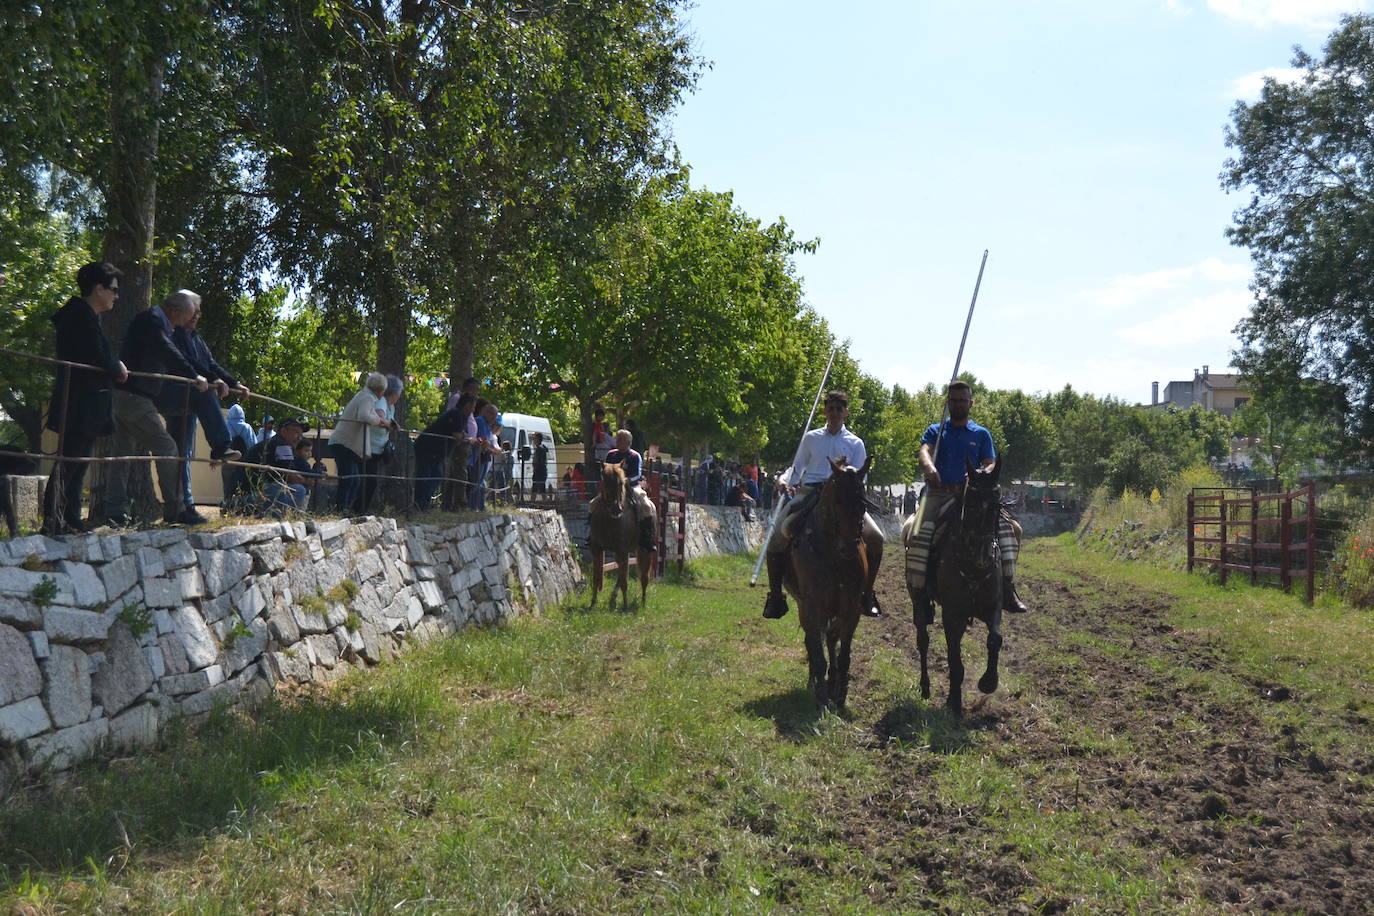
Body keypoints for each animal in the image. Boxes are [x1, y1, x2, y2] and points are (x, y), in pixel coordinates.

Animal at [588, 466, 656, 609]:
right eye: (605, 481)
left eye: (620, 483)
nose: (616, 509)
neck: (609, 519)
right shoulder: (597, 549)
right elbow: (597, 578)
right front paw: (592, 603)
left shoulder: (622, 550)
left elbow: (625, 581)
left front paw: (625, 606)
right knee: (622, 572)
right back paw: (613, 599)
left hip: (644, 551)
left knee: (644, 577)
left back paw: (642, 603)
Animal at [780, 455, 873, 708]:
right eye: (836, 501)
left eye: (863, 503)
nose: (849, 548)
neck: (833, 556)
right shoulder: (813, 606)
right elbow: (817, 650)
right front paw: (821, 696)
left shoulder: (851, 610)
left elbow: (843, 654)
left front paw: (839, 695)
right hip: (805, 607)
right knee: (811, 641)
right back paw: (815, 682)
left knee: (830, 640)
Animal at [906, 458, 1005, 714]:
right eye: (969, 504)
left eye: (996, 505)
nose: (983, 554)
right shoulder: (952, 615)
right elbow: (954, 659)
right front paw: (955, 702)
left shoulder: (993, 606)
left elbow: (995, 638)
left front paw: (988, 682)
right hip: (919, 603)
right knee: (923, 641)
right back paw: (925, 686)